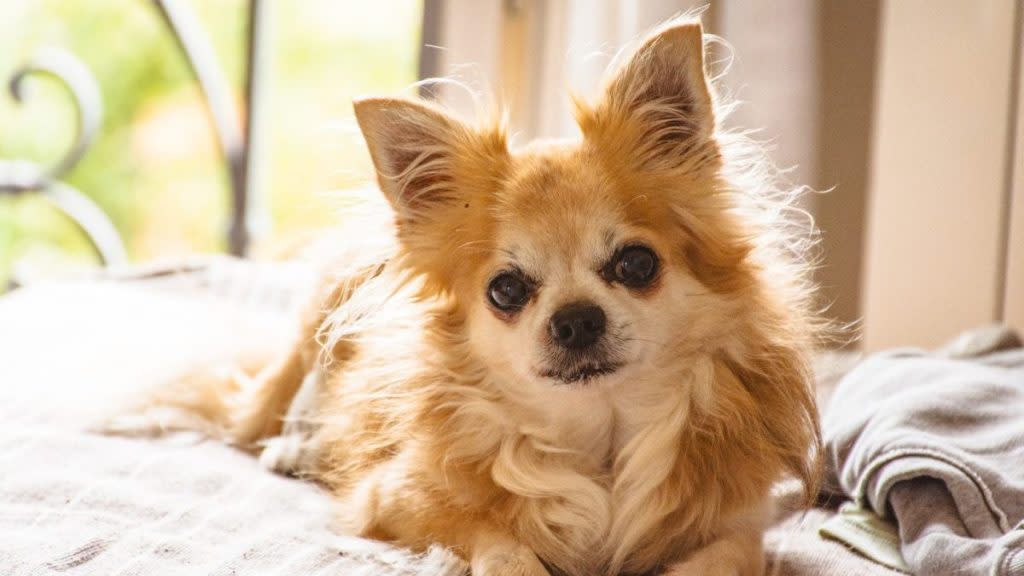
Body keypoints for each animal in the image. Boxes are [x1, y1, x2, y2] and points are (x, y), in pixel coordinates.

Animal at [119, 16, 823, 573]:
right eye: (506, 290)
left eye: (637, 263)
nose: (576, 319)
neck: (599, 438)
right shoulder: (400, 499)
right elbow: (503, 542)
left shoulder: (739, 525)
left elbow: (721, 559)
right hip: (320, 319)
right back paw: (296, 446)